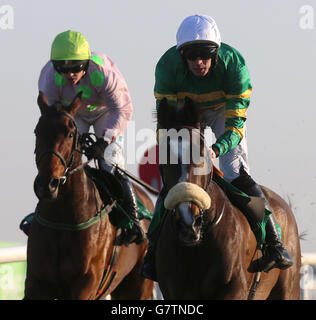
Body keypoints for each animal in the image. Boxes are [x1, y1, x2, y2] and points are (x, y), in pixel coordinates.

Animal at [24, 92, 154, 300]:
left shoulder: (86, 283)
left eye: (70, 134)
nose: (47, 185)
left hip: (138, 285)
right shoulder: (36, 283)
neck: (63, 217)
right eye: (37, 131)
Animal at [155, 97, 302, 300]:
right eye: (164, 157)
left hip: (289, 288)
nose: (188, 222)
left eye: (201, 154)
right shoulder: (174, 290)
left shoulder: (234, 286)